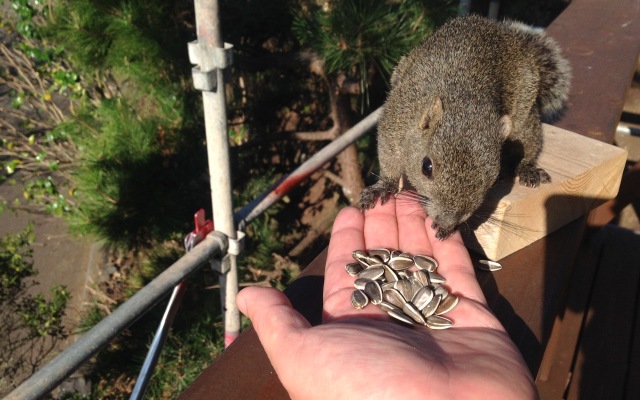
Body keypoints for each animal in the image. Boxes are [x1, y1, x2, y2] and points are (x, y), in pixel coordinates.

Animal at [360, 14, 568, 241]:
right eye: (426, 167)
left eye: (492, 181)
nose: (448, 222)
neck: (463, 100)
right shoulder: (396, 120)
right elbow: (388, 156)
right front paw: (384, 186)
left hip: (525, 116)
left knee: (530, 142)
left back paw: (527, 167)